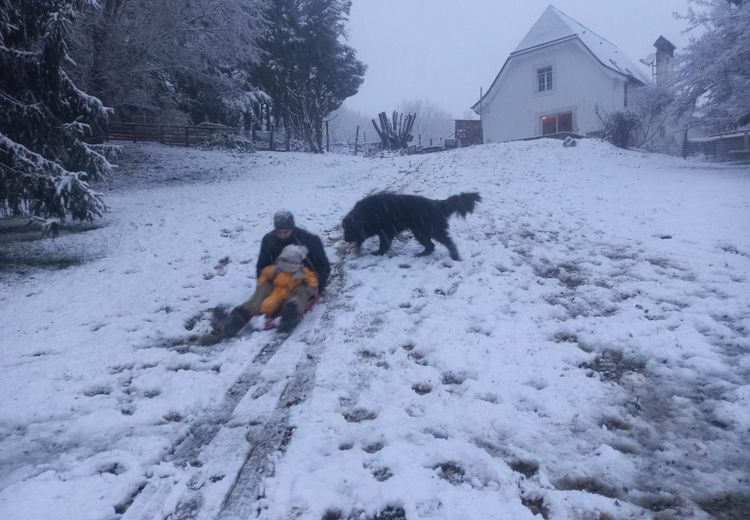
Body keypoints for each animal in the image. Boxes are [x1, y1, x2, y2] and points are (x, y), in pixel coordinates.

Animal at [342, 192, 482, 260]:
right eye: (344, 229)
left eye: (348, 229)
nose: (345, 239)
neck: (367, 214)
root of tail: (437, 204)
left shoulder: (385, 232)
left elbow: (384, 244)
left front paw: (378, 253)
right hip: (420, 232)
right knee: (431, 245)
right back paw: (422, 254)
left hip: (429, 231)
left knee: (447, 243)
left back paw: (455, 257)